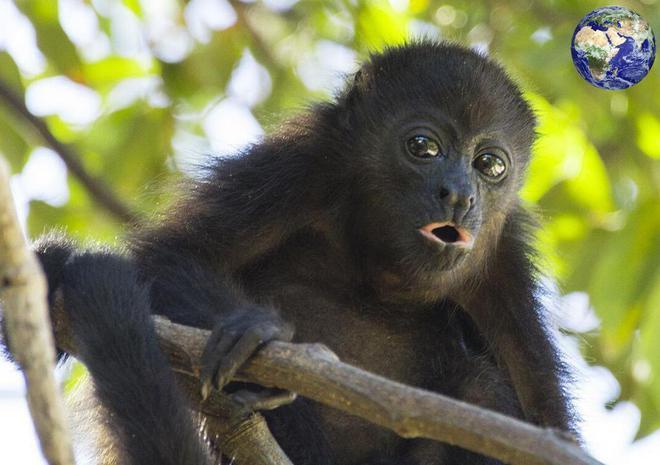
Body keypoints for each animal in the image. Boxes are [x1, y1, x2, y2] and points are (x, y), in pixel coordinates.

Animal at [2, 40, 576, 464]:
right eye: (423, 147)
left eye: (490, 164)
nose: (458, 194)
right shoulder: (303, 163)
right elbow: (173, 254)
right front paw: (258, 333)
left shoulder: (502, 267)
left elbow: (545, 420)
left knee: (482, 387)